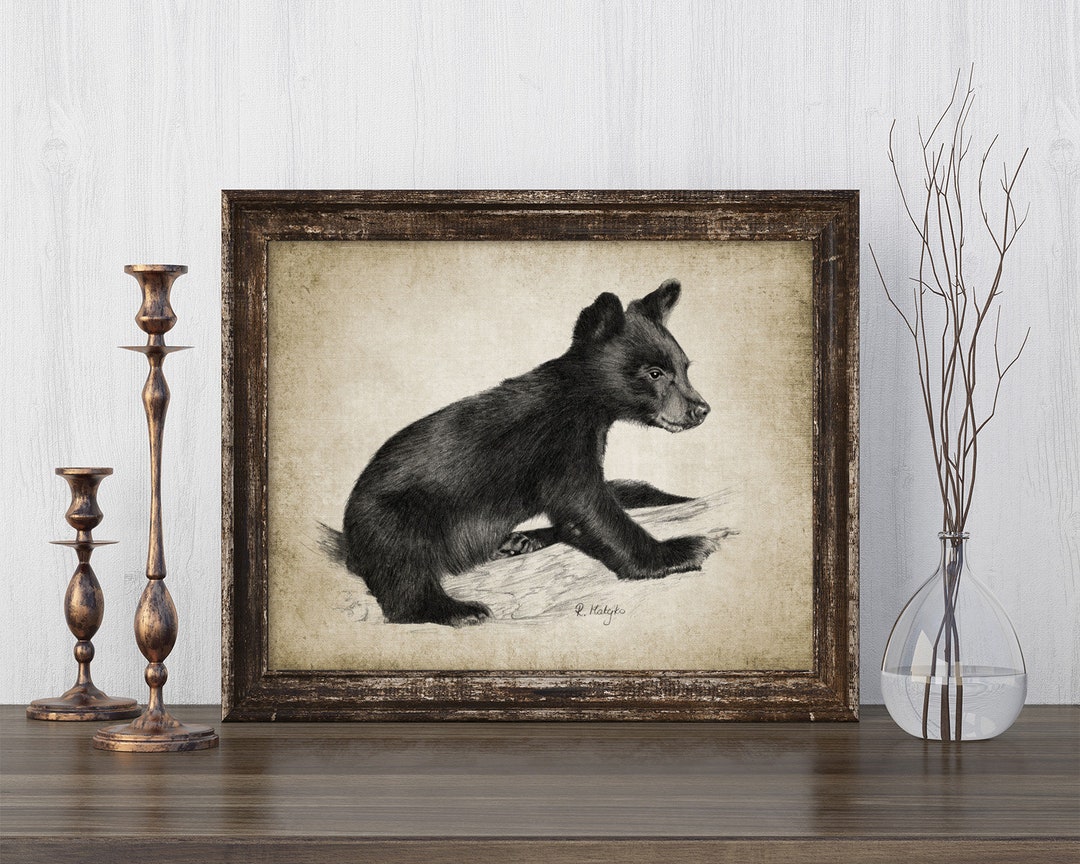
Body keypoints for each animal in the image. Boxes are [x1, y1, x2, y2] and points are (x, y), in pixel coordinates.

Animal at [341, 278, 715, 626]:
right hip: (396, 515)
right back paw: (459, 609)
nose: (701, 409)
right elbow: (588, 506)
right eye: (655, 373)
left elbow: (600, 499)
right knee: (402, 568)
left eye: (685, 368)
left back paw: (518, 542)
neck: (582, 402)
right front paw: (682, 550)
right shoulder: (558, 444)